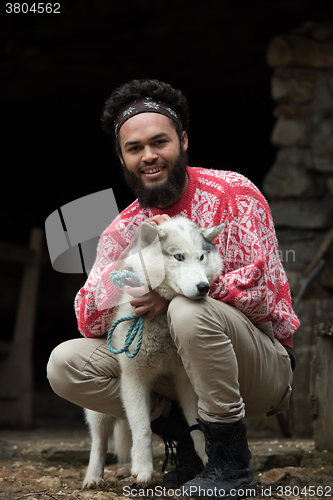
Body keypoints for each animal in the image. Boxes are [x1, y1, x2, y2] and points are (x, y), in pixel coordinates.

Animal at [82, 216, 223, 488]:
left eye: (201, 257)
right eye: (179, 257)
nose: (204, 287)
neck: (161, 322)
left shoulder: (187, 381)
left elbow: (197, 427)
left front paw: (207, 461)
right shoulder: (133, 378)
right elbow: (142, 428)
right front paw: (143, 471)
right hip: (97, 412)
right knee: (99, 441)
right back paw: (93, 478)